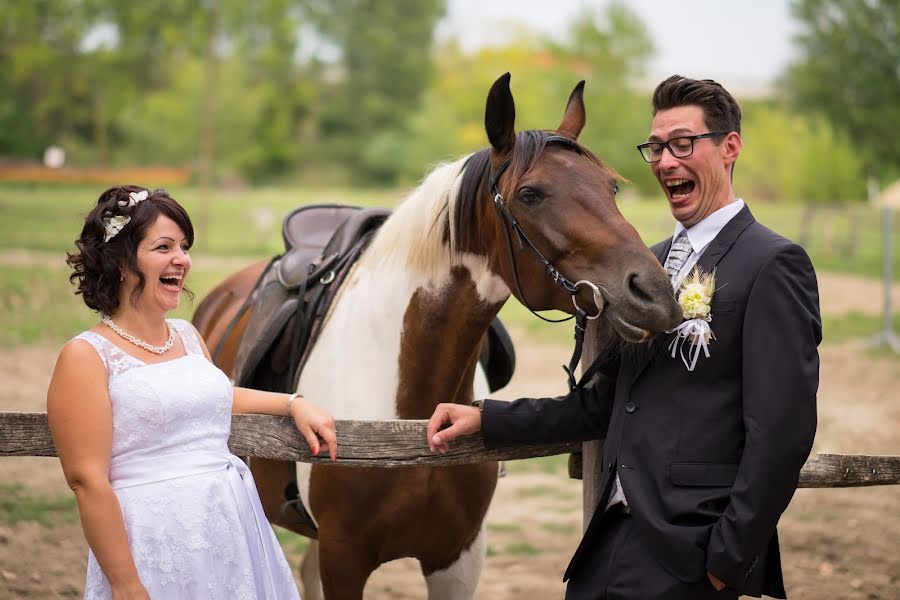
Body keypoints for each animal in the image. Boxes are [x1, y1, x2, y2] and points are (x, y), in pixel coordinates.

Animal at [193, 75, 680, 600]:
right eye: (531, 194)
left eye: (611, 187)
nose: (654, 295)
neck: (405, 420)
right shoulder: (344, 558)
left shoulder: (458, 558)